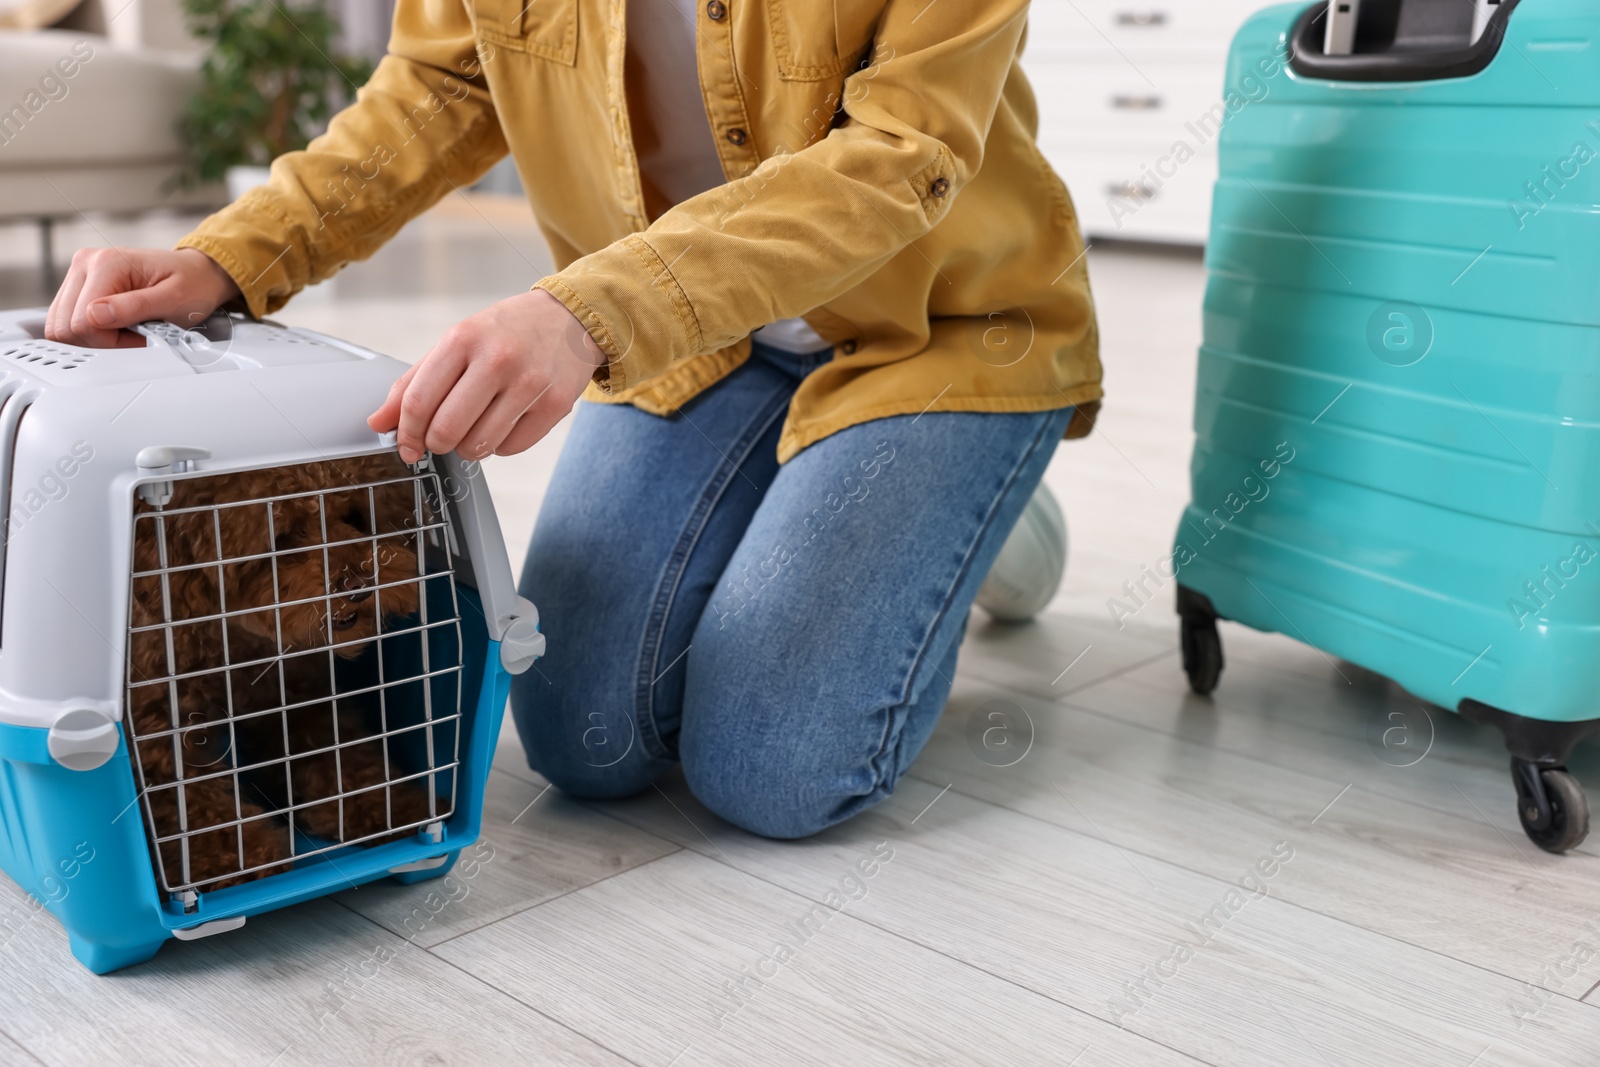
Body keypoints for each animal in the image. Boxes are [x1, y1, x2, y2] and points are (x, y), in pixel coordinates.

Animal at [126, 451, 438, 895]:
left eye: (354, 514)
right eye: (284, 534)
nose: (359, 584)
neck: (237, 645)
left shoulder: (299, 701)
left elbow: (345, 762)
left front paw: (398, 807)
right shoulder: (159, 734)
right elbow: (191, 804)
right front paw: (237, 861)